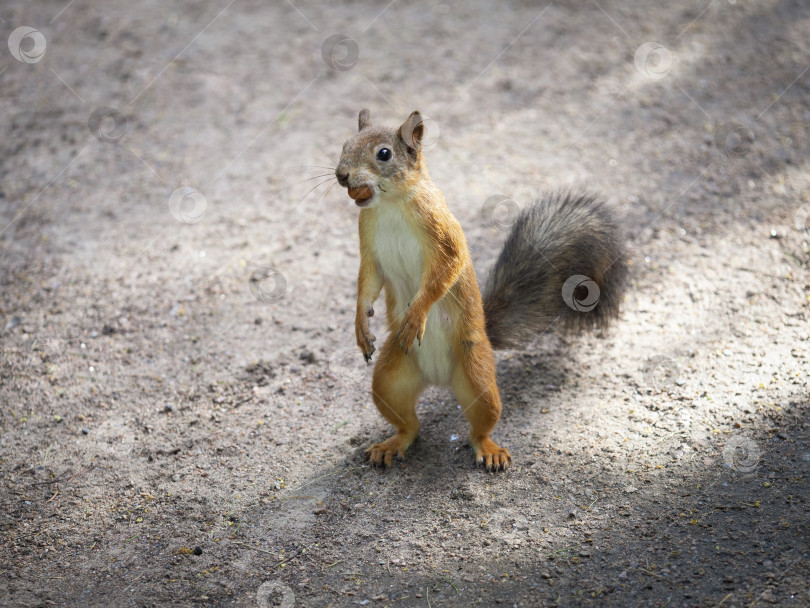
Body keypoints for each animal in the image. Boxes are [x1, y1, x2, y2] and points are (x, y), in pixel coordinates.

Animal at [332, 109, 628, 470]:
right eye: (344, 145)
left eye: (384, 154)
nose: (341, 175)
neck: (390, 205)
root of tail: (439, 379)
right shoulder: (369, 247)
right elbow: (367, 284)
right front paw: (361, 325)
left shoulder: (442, 234)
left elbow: (444, 273)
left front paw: (416, 315)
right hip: (389, 379)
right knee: (409, 425)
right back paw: (392, 443)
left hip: (477, 374)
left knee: (480, 426)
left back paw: (489, 450)